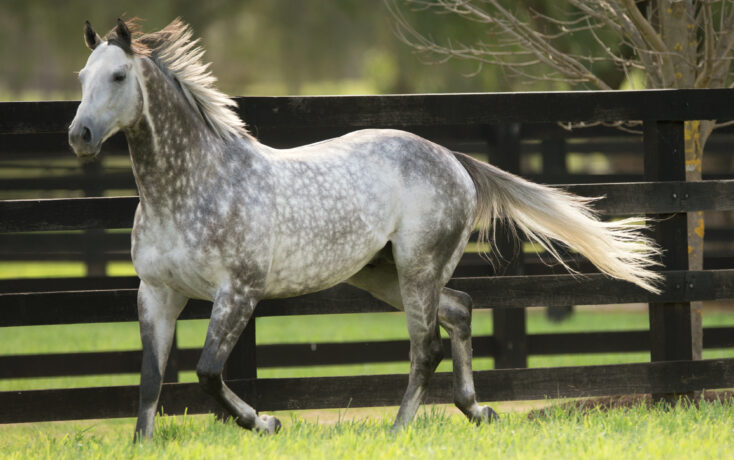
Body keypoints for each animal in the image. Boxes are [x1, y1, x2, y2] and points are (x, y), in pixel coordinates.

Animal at [68, 18, 662, 441]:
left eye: (118, 77)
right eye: (82, 78)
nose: (79, 135)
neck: (194, 186)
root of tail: (452, 158)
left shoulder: (238, 292)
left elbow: (208, 372)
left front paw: (267, 423)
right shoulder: (157, 294)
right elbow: (151, 379)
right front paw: (144, 444)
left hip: (417, 269)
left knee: (426, 346)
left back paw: (399, 430)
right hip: (384, 274)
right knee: (461, 310)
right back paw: (478, 411)